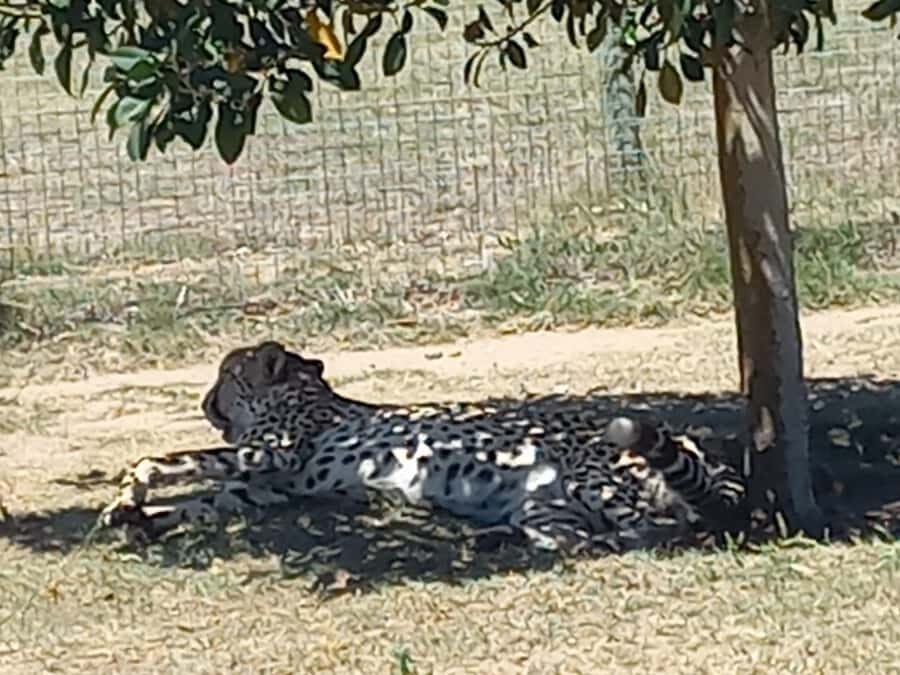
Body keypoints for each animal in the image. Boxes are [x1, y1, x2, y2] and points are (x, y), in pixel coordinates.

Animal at [98, 340, 747, 554]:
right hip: (545, 503)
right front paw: (137, 516)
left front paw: (128, 497)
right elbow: (199, 501)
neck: (304, 391)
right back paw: (493, 540)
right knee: (572, 539)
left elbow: (164, 459)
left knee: (661, 529)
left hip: (595, 478)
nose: (204, 401)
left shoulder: (272, 454)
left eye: (228, 375)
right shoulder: (264, 490)